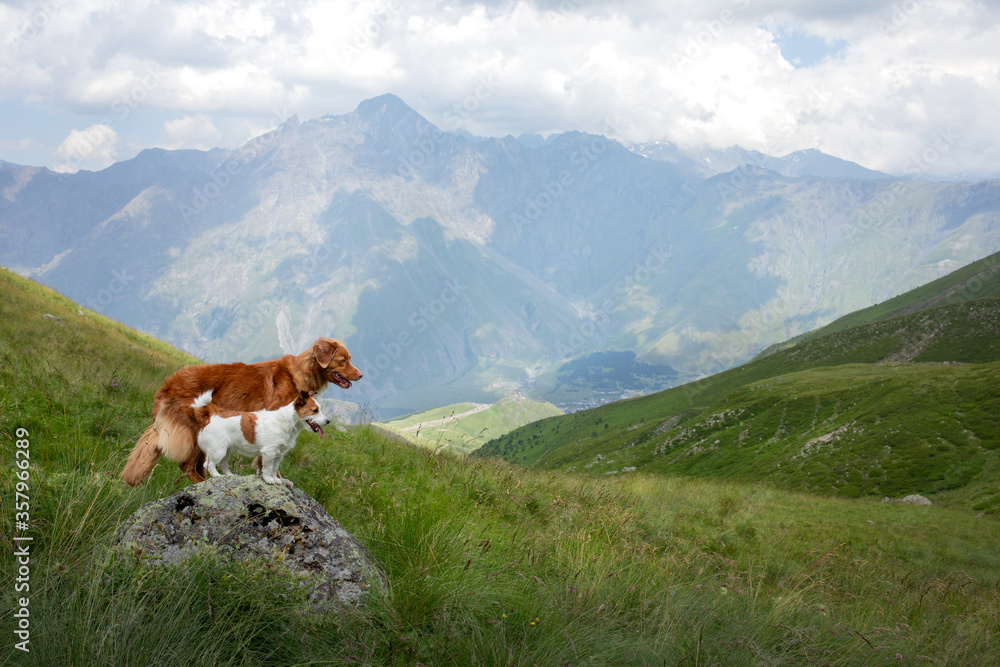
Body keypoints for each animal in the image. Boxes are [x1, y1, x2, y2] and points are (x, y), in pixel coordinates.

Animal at [188, 388, 328, 488]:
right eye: (315, 410)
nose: (328, 421)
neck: (287, 421)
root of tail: (207, 418)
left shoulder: (279, 455)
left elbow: (274, 468)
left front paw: (276, 479)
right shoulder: (269, 453)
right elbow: (267, 468)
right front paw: (269, 479)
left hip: (226, 451)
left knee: (223, 464)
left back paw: (231, 475)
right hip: (218, 451)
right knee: (209, 464)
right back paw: (217, 476)